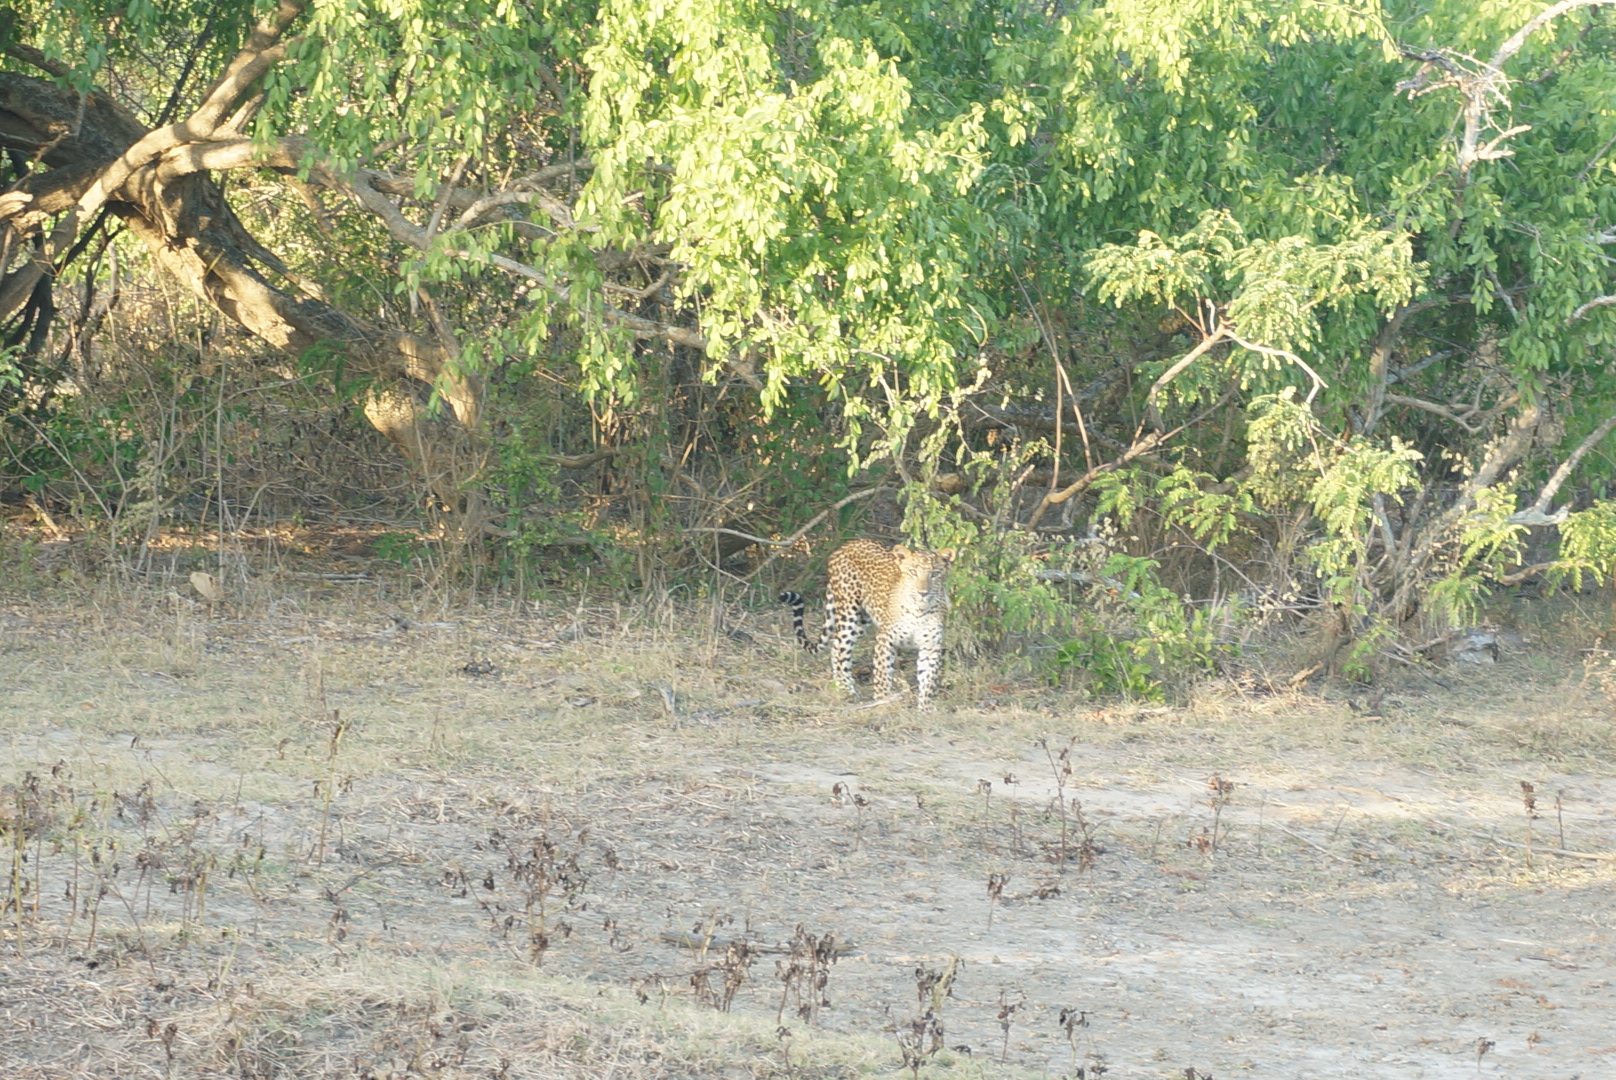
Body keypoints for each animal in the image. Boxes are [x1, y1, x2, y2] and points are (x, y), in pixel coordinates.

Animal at [778, 540, 950, 708]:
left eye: (935, 574)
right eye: (913, 572)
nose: (923, 593)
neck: (919, 611)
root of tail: (845, 546)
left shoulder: (931, 647)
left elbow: (928, 680)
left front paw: (925, 709)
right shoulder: (885, 641)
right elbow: (882, 675)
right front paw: (883, 702)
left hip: (862, 621)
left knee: (836, 646)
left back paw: (840, 684)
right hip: (848, 614)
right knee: (842, 649)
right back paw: (845, 690)